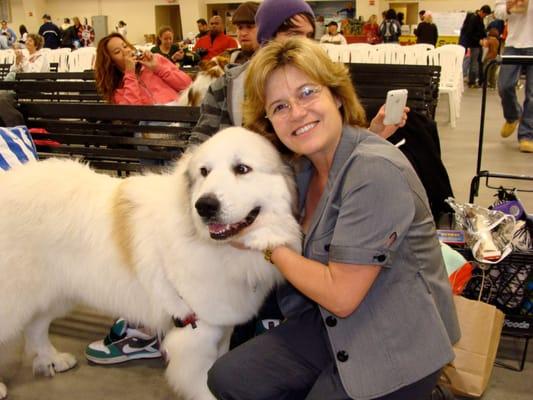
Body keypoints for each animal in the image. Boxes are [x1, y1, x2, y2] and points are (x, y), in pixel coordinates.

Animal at [0, 128, 300, 400]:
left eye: (242, 169)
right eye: (204, 172)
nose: (205, 206)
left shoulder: (222, 324)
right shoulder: (196, 335)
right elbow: (205, 386)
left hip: (54, 292)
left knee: (36, 326)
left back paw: (51, 359)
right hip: (18, 297)